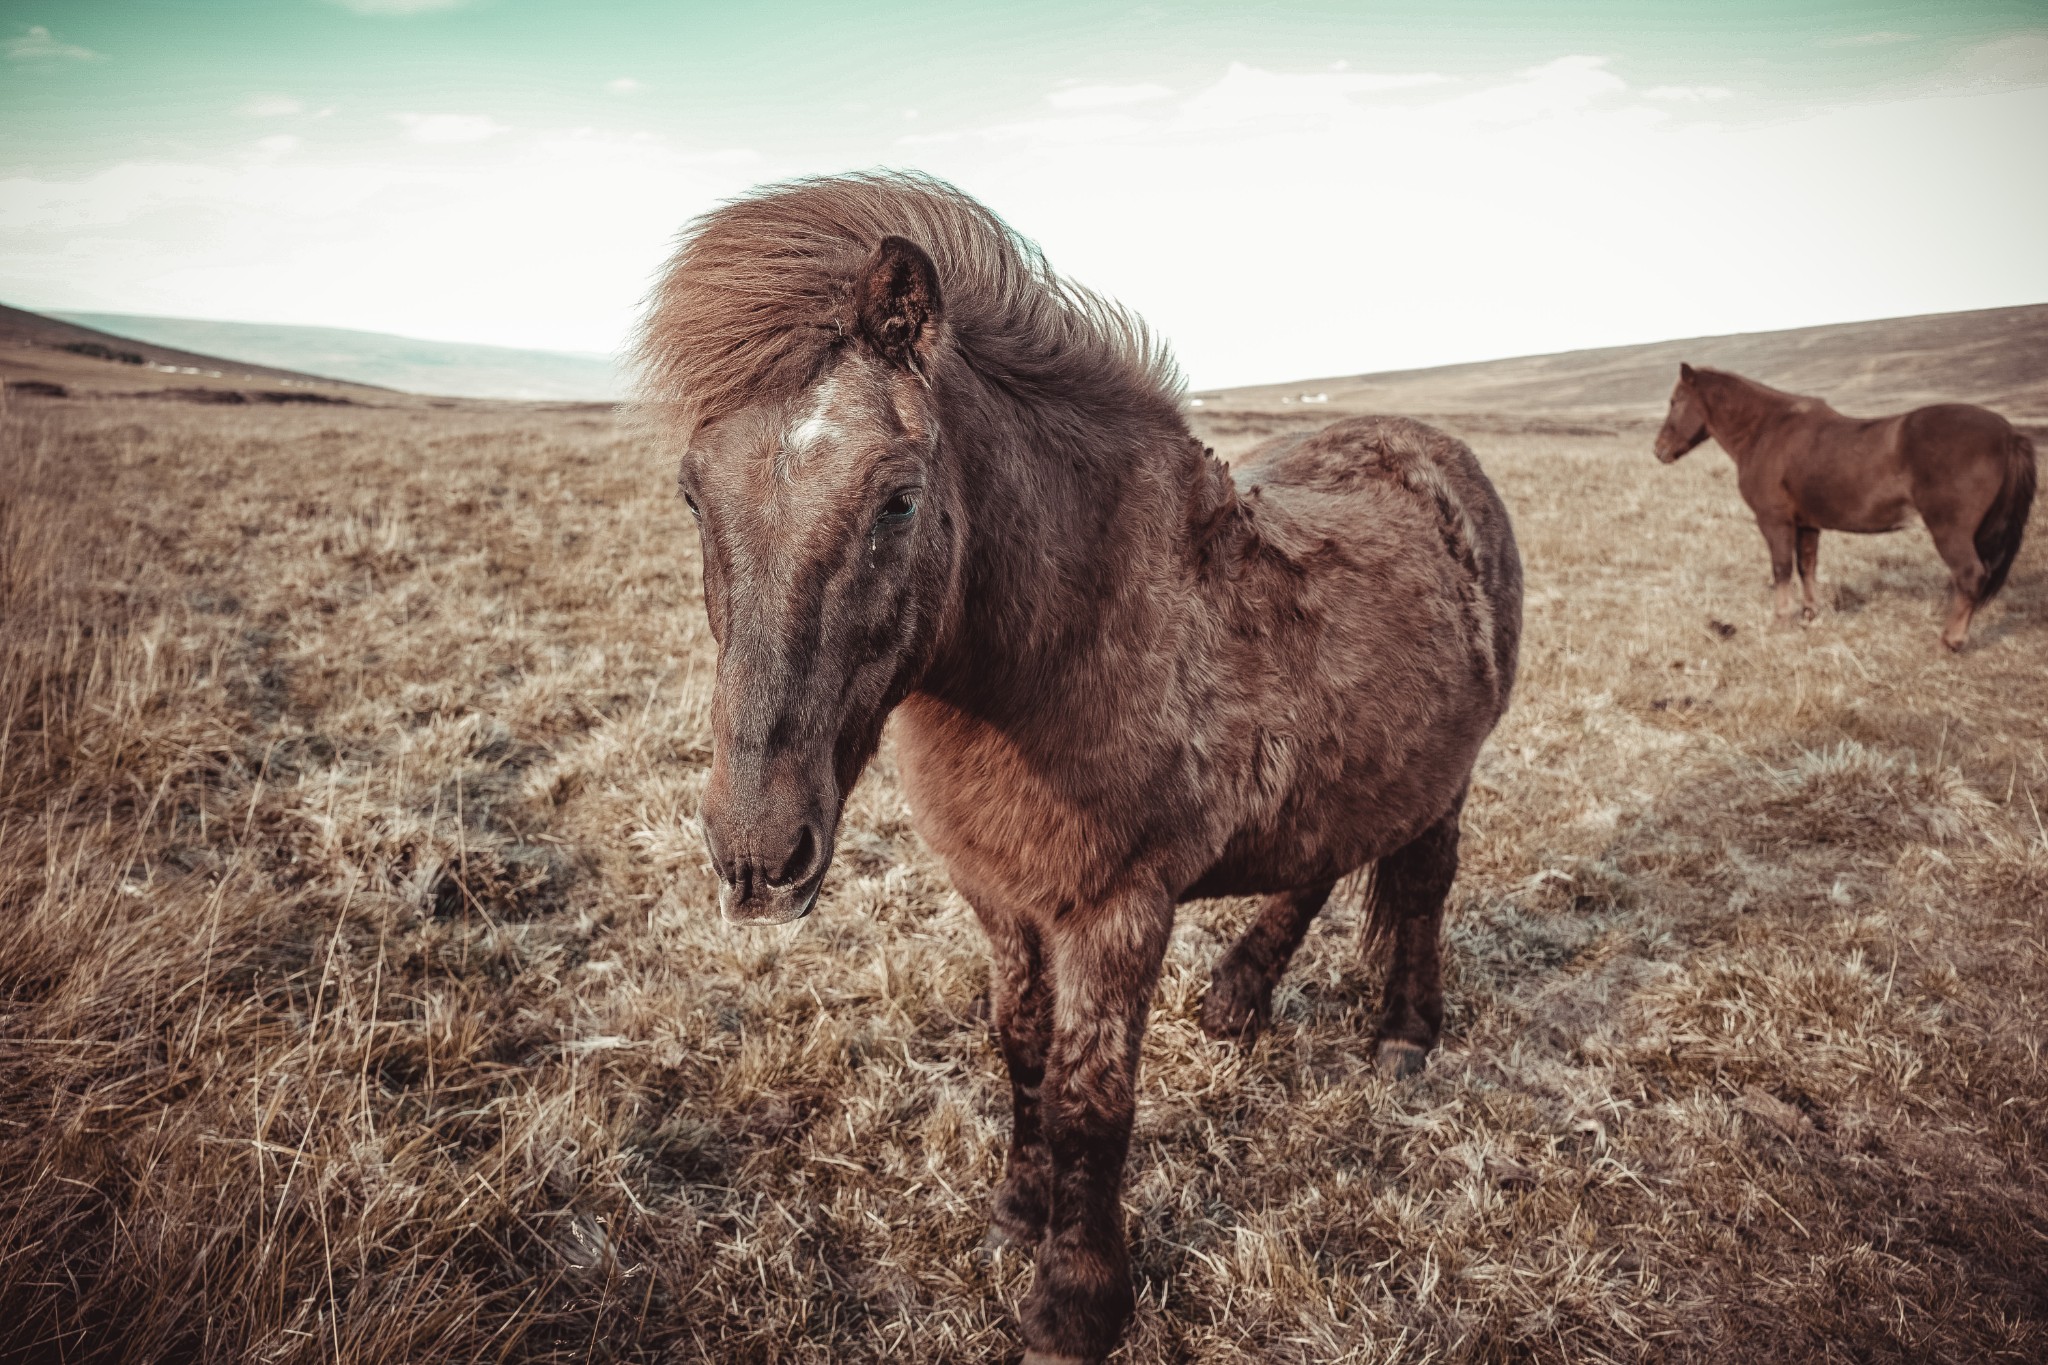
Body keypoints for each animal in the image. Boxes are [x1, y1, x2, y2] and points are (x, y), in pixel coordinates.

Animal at [638, 173, 1523, 1365]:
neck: (1067, 641)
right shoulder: (1001, 896)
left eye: (899, 497)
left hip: (1447, 777)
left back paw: (1401, 1036)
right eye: (694, 496)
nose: (755, 853)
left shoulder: (1116, 911)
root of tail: (1434, 450)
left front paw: (1075, 1302)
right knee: (1316, 861)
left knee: (1420, 885)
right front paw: (1018, 1212)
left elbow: (1087, 1098)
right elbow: (1018, 1047)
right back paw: (1236, 999)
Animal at [1654, 362, 2039, 650]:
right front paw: (1810, 614)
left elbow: (1782, 569)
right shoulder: (1807, 524)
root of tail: (2009, 434)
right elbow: (1806, 566)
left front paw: (1780, 620)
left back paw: (1950, 640)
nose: (1658, 450)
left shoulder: (1774, 521)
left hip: (1951, 531)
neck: (1766, 431)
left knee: (1970, 575)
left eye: (1675, 401)